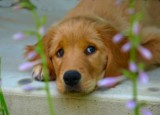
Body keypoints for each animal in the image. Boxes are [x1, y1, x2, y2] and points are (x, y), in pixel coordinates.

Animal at [25, 0, 160, 93]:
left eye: (91, 49)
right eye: (60, 52)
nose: (70, 77)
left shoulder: (154, 37)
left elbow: (136, 54)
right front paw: (42, 66)